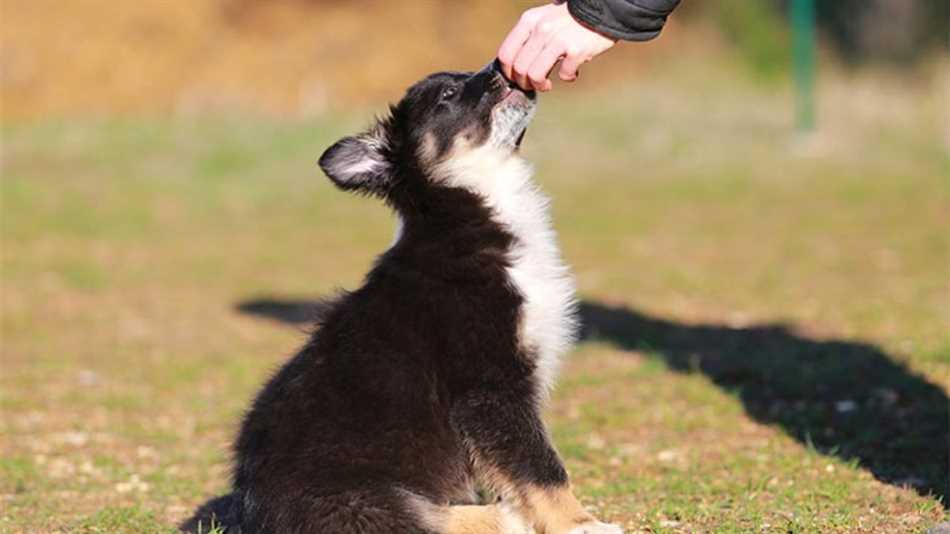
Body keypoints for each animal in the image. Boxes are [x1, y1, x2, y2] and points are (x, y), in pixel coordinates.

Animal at [184, 61, 624, 534]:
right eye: (447, 95)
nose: (501, 66)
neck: (467, 211)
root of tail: (250, 508)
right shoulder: (489, 385)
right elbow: (540, 465)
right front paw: (580, 522)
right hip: (357, 499)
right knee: (423, 517)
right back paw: (501, 516)